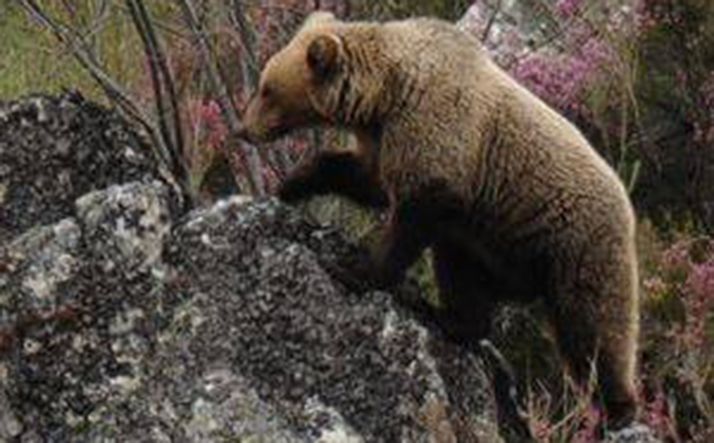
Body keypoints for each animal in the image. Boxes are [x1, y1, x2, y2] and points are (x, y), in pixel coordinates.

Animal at [239, 11, 640, 426]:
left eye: (267, 89)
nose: (243, 128)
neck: (384, 95)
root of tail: (625, 200)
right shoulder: (386, 141)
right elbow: (367, 180)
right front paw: (293, 184)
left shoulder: (437, 135)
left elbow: (411, 217)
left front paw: (352, 269)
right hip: (492, 248)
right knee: (461, 271)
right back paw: (451, 319)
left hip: (575, 242)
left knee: (594, 324)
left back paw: (618, 407)